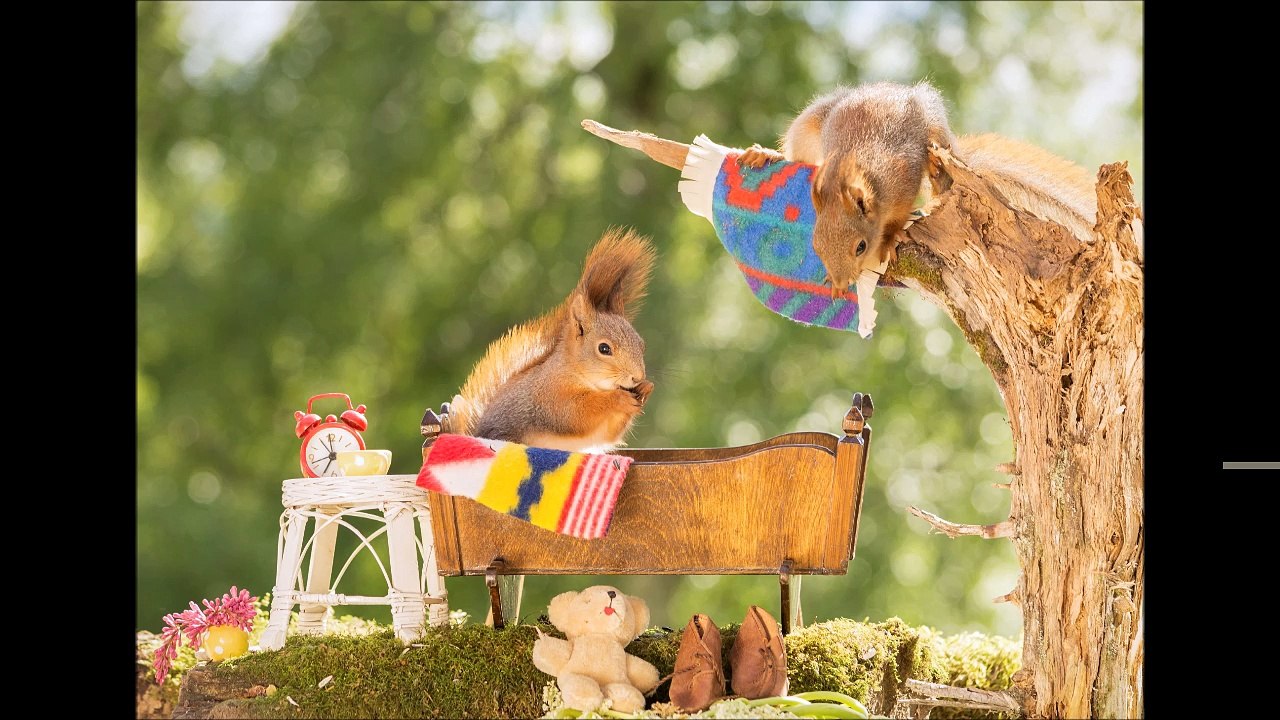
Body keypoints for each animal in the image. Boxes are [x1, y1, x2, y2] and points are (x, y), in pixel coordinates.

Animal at [446, 227, 658, 454]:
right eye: (604, 349)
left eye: (642, 345)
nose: (637, 377)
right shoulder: (550, 397)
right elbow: (575, 414)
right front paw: (618, 399)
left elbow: (609, 433)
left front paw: (646, 388)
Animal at [738, 81, 1100, 294]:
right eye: (816, 246)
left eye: (860, 247)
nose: (842, 283)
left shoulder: (903, 183)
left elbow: (898, 219)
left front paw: (891, 239)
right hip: (811, 122)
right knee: (796, 153)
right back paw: (767, 154)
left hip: (935, 129)